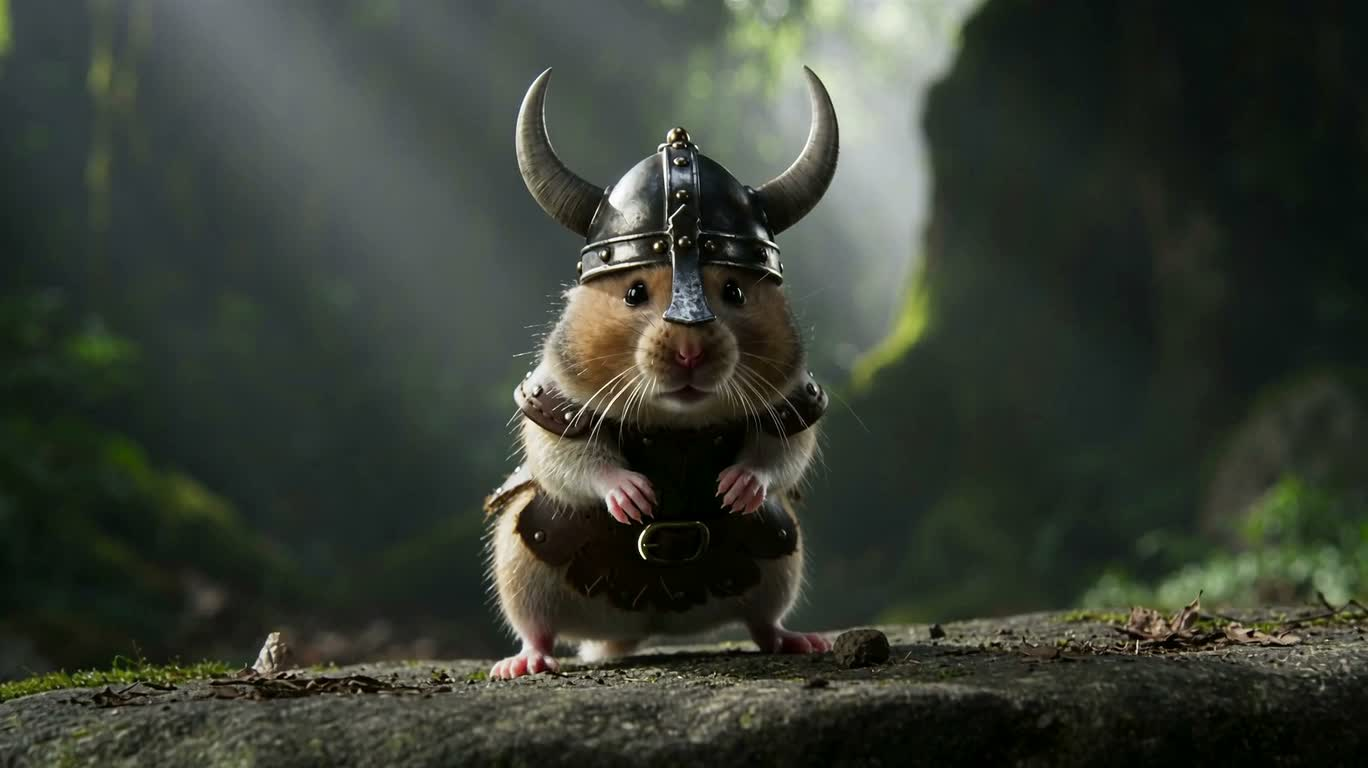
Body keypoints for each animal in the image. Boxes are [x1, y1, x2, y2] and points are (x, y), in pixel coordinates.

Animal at [483, 263, 830, 679]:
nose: (689, 353)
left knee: (763, 621)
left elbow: (779, 456)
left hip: (779, 566)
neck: (677, 417)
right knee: (536, 629)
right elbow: (576, 461)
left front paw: (738, 488)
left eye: (735, 292)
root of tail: (640, 627)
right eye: (634, 293)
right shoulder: (556, 409)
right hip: (523, 567)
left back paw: (801, 641)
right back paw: (522, 664)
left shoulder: (790, 408)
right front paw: (633, 496)